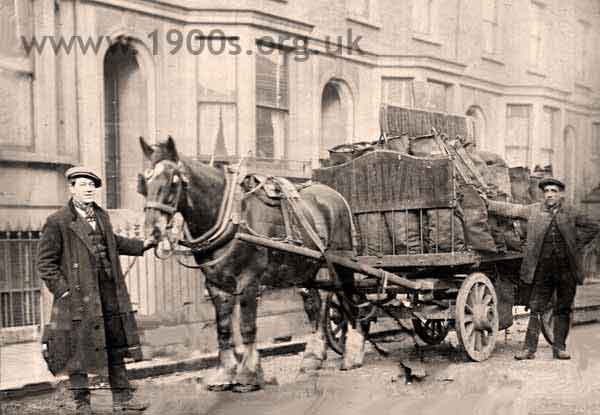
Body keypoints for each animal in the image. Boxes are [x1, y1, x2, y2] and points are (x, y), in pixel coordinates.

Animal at [139, 136, 368, 394]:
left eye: (174, 181)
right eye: (146, 180)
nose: (152, 231)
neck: (231, 216)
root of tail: (336, 196)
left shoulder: (249, 281)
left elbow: (247, 326)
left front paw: (248, 374)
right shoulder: (216, 285)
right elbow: (224, 328)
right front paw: (224, 373)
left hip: (342, 263)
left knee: (350, 301)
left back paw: (353, 353)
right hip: (307, 268)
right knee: (315, 307)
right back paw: (313, 357)